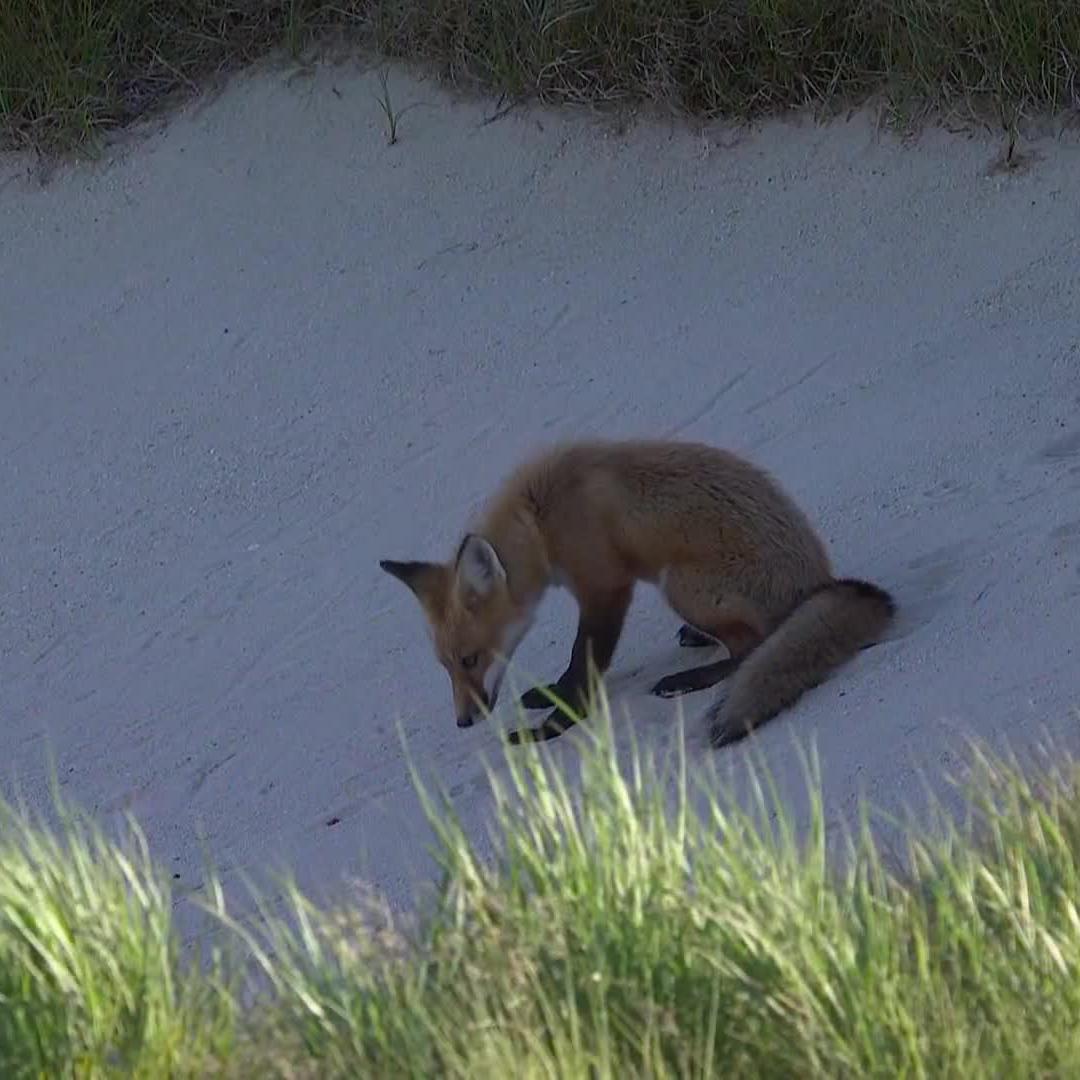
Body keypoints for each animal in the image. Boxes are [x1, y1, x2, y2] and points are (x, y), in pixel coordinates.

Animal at [379, 438, 895, 747]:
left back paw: (691, 677)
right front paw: (550, 697)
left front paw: (555, 725)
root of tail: (821, 581)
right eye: (446, 666)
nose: (464, 721)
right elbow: (572, 668)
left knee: (754, 646)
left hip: (679, 585)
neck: (542, 517)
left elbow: (583, 663)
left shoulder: (605, 588)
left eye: (470, 659)